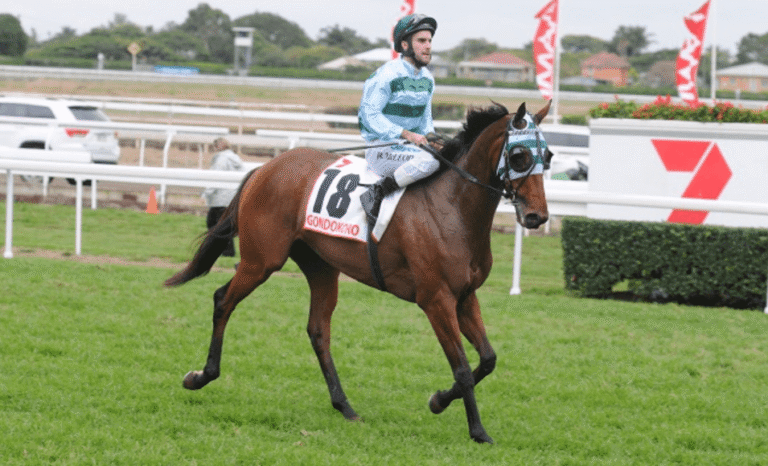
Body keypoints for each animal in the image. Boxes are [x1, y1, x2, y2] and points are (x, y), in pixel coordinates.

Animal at [165, 100, 553, 444]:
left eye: (547, 157)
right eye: (520, 156)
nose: (537, 217)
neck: (452, 207)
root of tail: (265, 168)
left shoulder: (465, 296)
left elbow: (487, 360)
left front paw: (439, 400)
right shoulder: (436, 299)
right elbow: (461, 367)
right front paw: (477, 431)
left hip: (321, 267)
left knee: (318, 330)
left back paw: (344, 405)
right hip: (262, 261)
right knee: (223, 300)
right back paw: (200, 376)